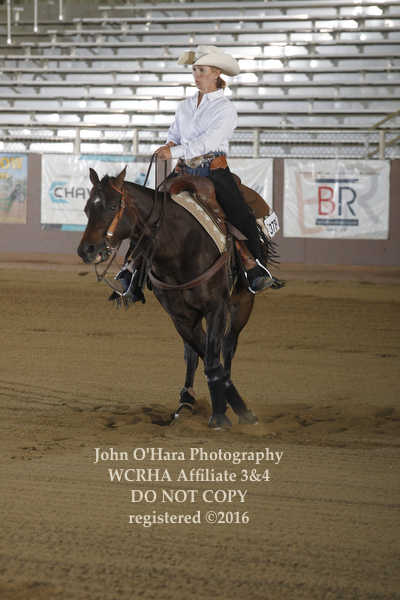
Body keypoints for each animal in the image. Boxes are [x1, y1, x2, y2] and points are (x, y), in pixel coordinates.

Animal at [77, 165, 274, 430]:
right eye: (87, 208)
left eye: (110, 207)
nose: (86, 249)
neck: (179, 245)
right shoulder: (180, 317)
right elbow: (204, 356)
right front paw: (220, 406)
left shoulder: (216, 307)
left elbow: (214, 360)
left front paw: (230, 412)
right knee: (193, 355)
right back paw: (187, 402)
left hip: (243, 302)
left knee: (229, 345)